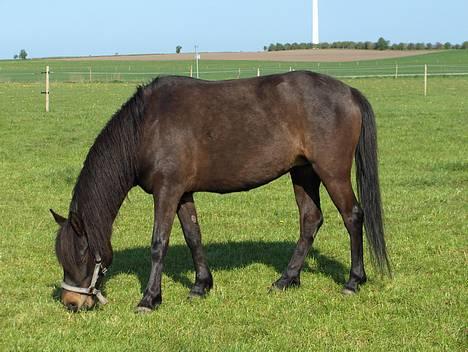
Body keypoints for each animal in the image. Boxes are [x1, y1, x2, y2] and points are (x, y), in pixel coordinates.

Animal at [50, 70, 392, 312]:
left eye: (81, 254)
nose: (71, 303)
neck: (147, 127)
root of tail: (349, 92)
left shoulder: (167, 191)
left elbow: (159, 243)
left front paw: (150, 299)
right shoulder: (183, 193)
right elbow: (193, 236)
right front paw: (201, 285)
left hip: (331, 172)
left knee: (352, 217)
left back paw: (353, 281)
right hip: (303, 172)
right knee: (310, 220)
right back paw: (286, 279)